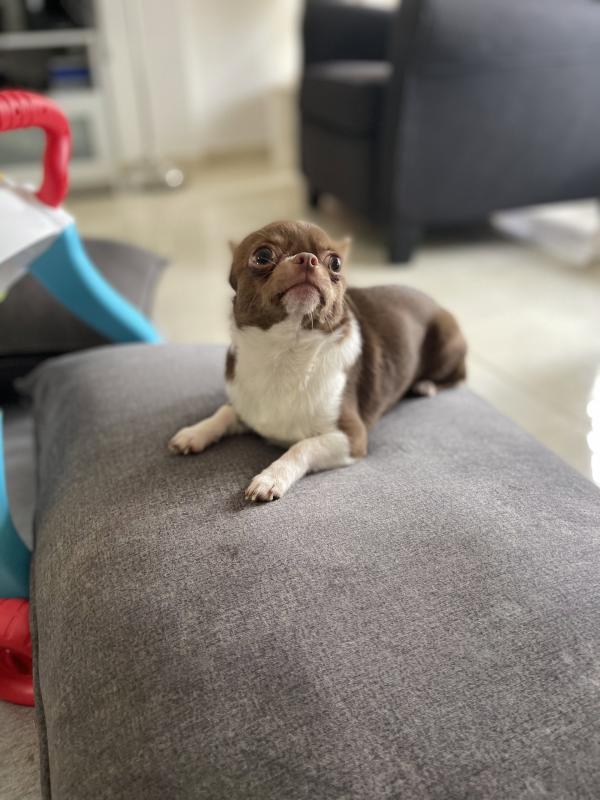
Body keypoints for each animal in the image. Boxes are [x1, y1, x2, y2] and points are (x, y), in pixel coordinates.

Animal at [169, 220, 467, 501]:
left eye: (335, 263)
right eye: (262, 256)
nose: (307, 258)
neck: (286, 351)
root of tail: (435, 302)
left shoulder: (352, 438)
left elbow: (302, 445)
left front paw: (271, 477)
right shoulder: (246, 405)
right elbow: (225, 412)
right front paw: (195, 432)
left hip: (446, 340)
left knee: (458, 376)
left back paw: (426, 385)